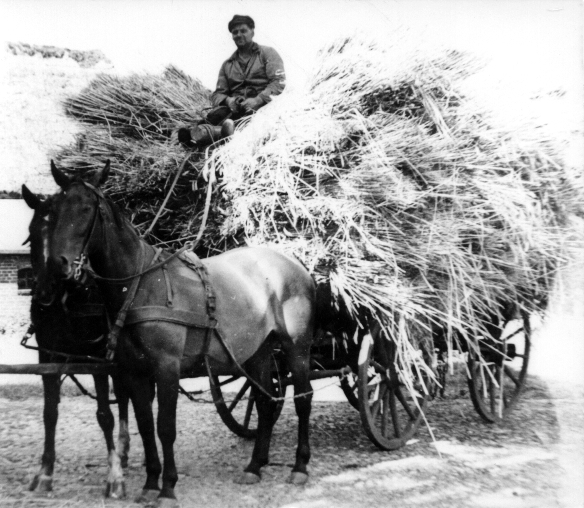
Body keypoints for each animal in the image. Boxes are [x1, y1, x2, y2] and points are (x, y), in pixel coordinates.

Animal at [21, 184, 130, 498]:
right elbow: (49, 413)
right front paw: (45, 472)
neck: (68, 300)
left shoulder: (98, 360)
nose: (45, 291)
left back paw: (123, 450)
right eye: (33, 234)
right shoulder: (47, 358)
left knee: (124, 397)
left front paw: (114, 476)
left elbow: (105, 414)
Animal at [43, 161, 316, 507]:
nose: (57, 264)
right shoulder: (134, 372)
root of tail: (295, 263)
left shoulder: (167, 368)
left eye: (87, 208)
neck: (141, 285)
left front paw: (168, 487)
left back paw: (300, 466)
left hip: (297, 348)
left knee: (303, 399)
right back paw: (255, 466)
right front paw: (150, 483)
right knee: (266, 401)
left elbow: (165, 428)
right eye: (52, 210)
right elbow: (145, 426)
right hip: (259, 351)